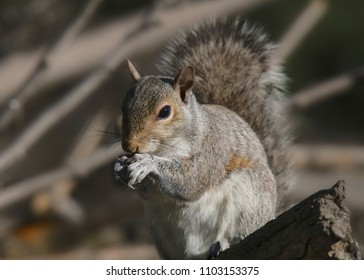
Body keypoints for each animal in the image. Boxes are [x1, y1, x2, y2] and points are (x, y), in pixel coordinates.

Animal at [115, 17, 292, 258]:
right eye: (123, 106)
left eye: (165, 112)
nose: (129, 145)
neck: (164, 148)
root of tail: (272, 213)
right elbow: (148, 193)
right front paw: (119, 167)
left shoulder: (211, 150)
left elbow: (191, 181)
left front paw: (146, 163)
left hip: (249, 199)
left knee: (243, 231)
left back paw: (224, 244)